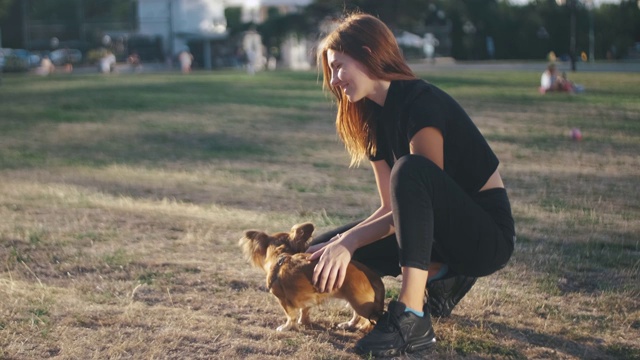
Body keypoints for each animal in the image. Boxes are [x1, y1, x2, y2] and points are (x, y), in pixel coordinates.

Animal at [238, 222, 382, 332]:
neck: (281, 257)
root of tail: (370, 274)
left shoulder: (283, 299)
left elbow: (290, 316)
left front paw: (287, 327)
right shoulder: (307, 297)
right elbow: (305, 310)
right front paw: (304, 322)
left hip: (361, 303)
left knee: (372, 318)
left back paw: (365, 329)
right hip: (353, 301)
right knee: (357, 315)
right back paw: (349, 324)